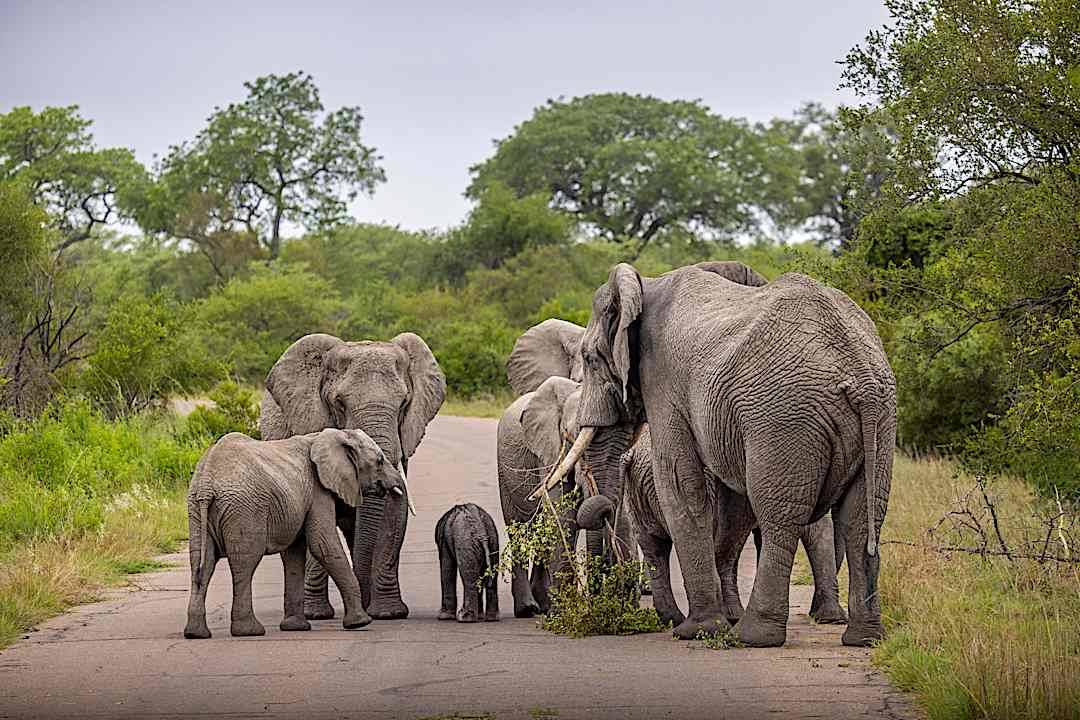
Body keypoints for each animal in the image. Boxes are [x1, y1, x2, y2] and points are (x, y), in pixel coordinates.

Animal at [184, 428, 404, 639]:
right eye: (379, 461)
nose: (394, 485)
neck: (332, 434)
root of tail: (206, 483)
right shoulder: (318, 490)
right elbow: (323, 544)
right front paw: (360, 623)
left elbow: (294, 554)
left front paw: (295, 627)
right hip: (244, 510)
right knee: (244, 564)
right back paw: (250, 631)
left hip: (195, 510)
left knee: (202, 564)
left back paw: (196, 634)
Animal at [259, 332, 446, 620]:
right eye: (339, 403)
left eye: (404, 403)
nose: (365, 605)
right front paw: (316, 615)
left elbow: (394, 511)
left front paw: (388, 614)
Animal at [576, 424, 848, 628]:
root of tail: (632, 454)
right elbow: (816, 530)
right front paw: (831, 619)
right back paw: (720, 617)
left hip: (639, 490)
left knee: (655, 547)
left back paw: (673, 619)